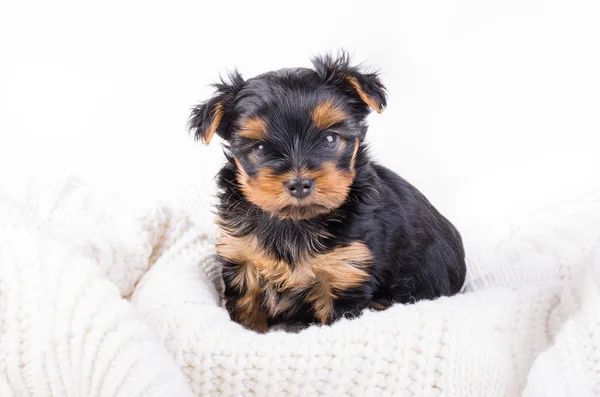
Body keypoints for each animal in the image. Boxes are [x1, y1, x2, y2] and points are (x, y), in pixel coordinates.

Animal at [190, 51, 466, 332]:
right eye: (259, 148)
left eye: (330, 139)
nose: (299, 183)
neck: (294, 222)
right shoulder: (243, 259)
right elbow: (246, 311)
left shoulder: (345, 270)